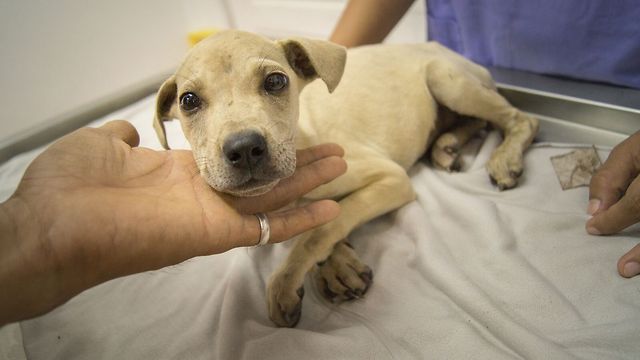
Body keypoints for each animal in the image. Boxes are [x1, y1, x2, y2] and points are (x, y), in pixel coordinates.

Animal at [155, 30, 540, 326]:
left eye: (276, 81)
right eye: (188, 101)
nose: (245, 148)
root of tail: (441, 47)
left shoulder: (391, 178)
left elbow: (325, 225)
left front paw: (288, 279)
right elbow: (318, 221)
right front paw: (338, 266)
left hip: (446, 80)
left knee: (520, 119)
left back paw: (504, 158)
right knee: (476, 122)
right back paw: (447, 144)